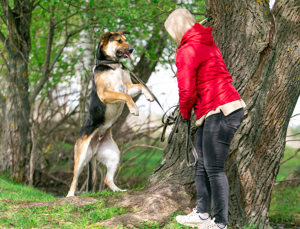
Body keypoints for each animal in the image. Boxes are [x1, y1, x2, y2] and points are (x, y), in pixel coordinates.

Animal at [67, 30, 154, 197]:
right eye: (119, 41)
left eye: (126, 39)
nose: (132, 49)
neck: (112, 65)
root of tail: (94, 149)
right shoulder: (105, 93)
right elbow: (125, 97)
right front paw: (134, 109)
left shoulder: (128, 87)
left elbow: (140, 85)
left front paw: (149, 95)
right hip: (81, 157)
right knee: (74, 180)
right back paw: (70, 196)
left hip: (114, 155)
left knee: (107, 180)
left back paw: (118, 190)